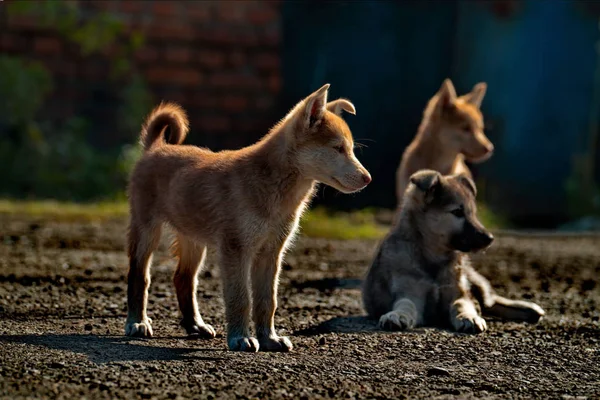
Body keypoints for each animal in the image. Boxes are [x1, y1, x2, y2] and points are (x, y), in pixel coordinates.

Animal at [126, 83, 370, 352]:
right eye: (338, 148)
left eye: (351, 149)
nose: (368, 178)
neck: (276, 188)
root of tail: (156, 147)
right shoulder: (236, 249)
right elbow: (240, 298)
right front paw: (240, 338)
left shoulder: (272, 252)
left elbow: (267, 301)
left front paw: (269, 338)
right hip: (146, 230)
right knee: (139, 276)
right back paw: (137, 322)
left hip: (192, 238)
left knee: (183, 279)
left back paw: (195, 325)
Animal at [364, 170, 548, 332]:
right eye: (458, 212)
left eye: (472, 213)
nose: (490, 238)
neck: (433, 255)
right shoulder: (410, 293)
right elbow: (406, 305)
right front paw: (397, 315)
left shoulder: (458, 292)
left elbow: (462, 305)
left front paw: (469, 317)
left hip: (473, 279)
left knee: (490, 301)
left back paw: (528, 308)